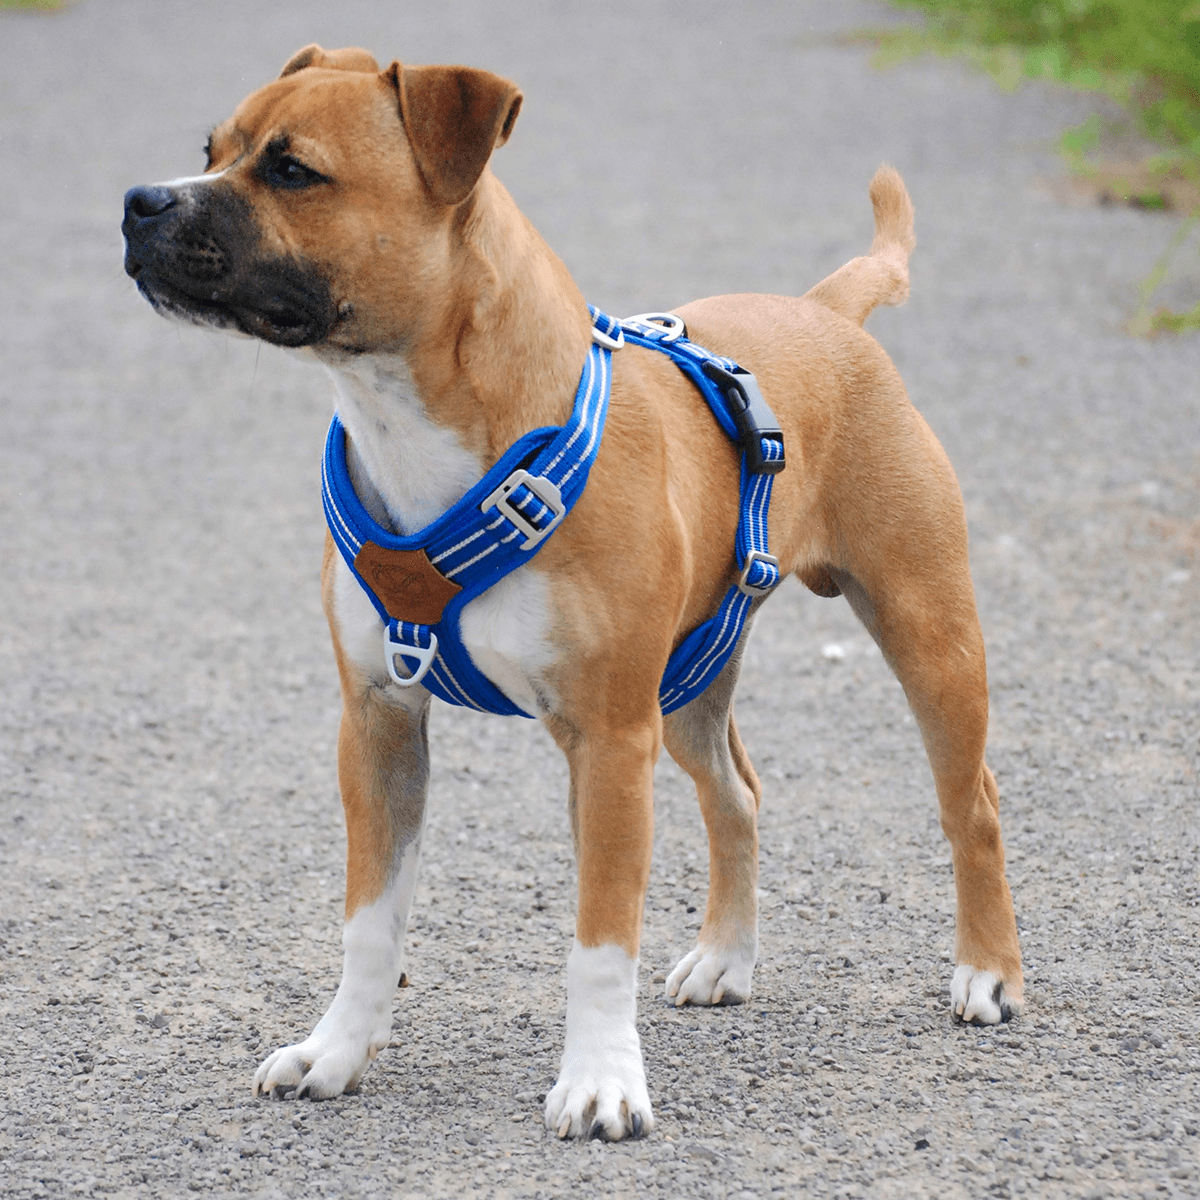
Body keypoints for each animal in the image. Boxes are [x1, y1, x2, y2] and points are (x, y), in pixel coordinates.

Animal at [121, 42, 1022, 1137]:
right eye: (213, 149)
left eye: (293, 171)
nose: (139, 201)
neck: (424, 419)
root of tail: (825, 311)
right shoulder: (378, 725)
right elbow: (369, 921)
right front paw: (336, 1050)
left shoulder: (607, 741)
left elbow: (600, 937)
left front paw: (599, 1081)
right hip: (689, 687)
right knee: (736, 793)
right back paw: (726, 958)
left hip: (928, 637)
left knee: (972, 804)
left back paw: (989, 973)